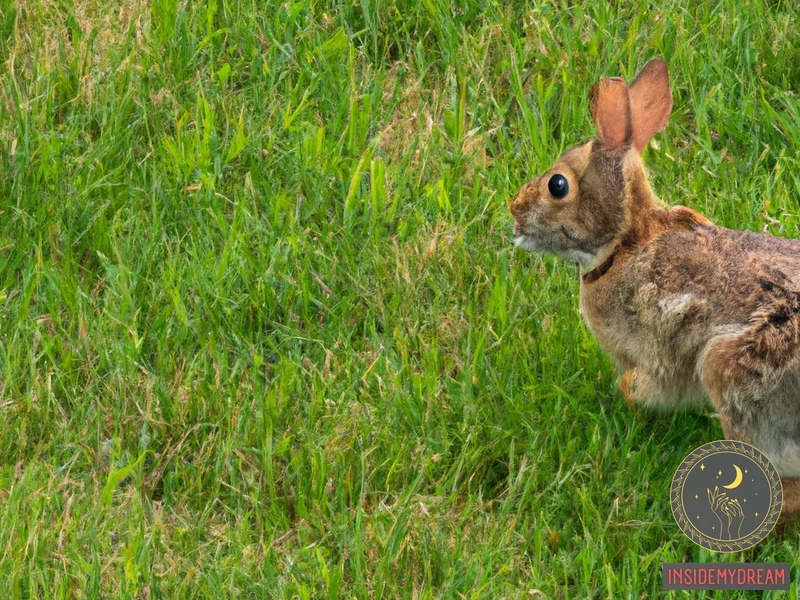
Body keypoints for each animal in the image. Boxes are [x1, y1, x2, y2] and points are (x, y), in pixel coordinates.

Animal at [510, 59, 800, 516]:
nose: (514, 210)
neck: (624, 243)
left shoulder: (658, 355)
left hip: (733, 375)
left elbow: (642, 386)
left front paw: (625, 399)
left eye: (558, 185)